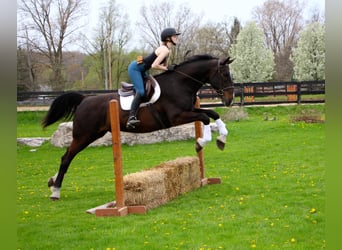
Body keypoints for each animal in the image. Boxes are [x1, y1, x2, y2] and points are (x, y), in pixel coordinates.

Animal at [42, 54, 235, 199]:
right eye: (225, 75)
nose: (230, 100)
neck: (180, 83)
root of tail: (84, 100)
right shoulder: (177, 117)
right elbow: (205, 118)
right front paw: (201, 142)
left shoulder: (190, 110)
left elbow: (212, 114)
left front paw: (222, 139)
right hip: (84, 135)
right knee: (66, 157)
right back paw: (56, 191)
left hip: (92, 134)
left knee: (67, 155)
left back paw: (52, 182)